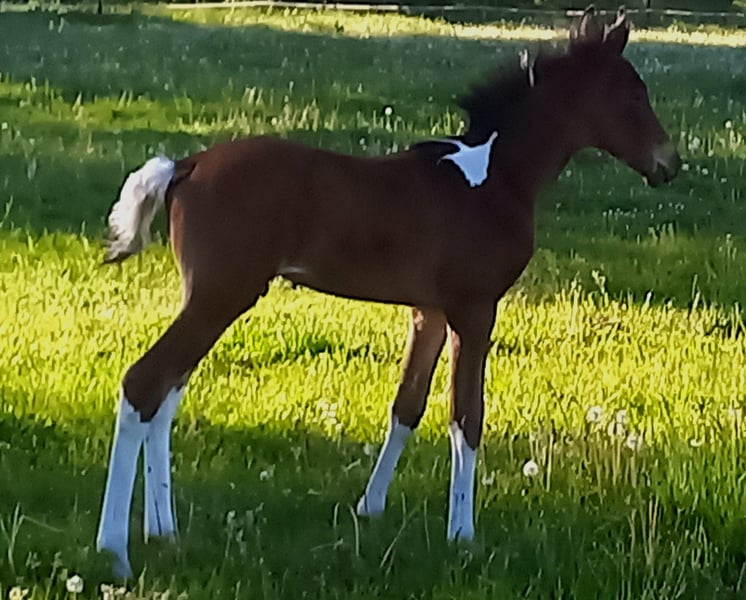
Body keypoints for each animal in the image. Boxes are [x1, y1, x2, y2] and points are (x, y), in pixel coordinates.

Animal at [97, 6, 681, 577]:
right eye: (633, 95)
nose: (669, 165)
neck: (495, 178)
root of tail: (185, 166)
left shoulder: (430, 312)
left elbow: (407, 407)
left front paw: (370, 508)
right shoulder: (474, 309)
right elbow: (466, 416)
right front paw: (462, 536)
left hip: (208, 299)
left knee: (166, 396)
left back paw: (163, 531)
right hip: (222, 296)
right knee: (144, 385)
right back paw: (114, 551)